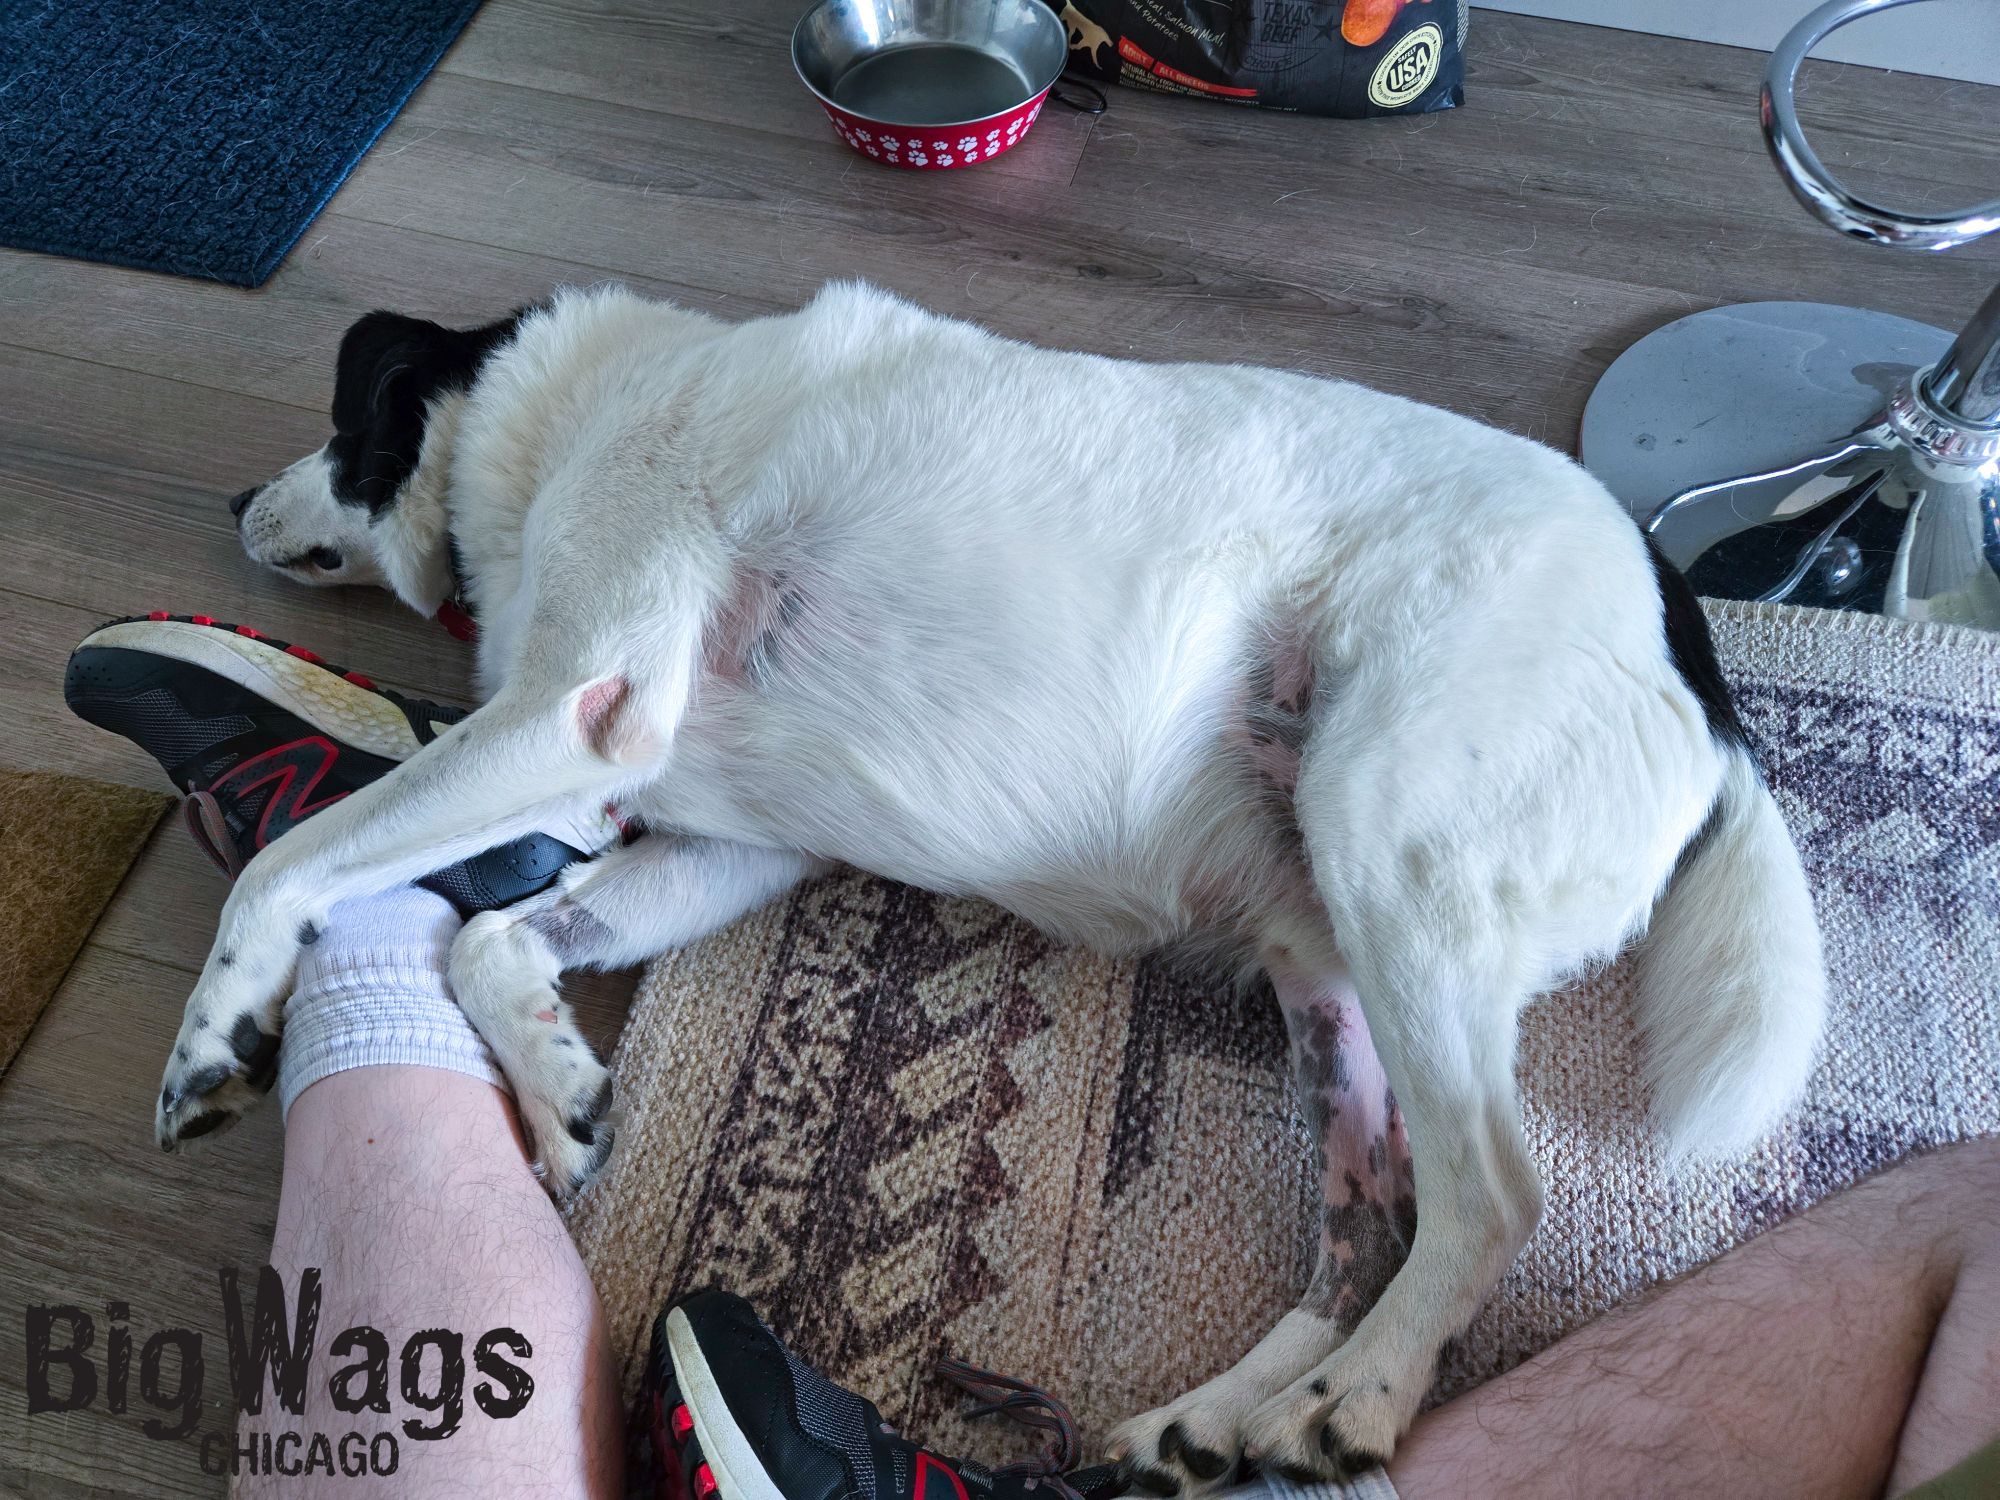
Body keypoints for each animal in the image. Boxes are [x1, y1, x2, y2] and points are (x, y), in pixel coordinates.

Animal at [180, 288, 1824, 1488]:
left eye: (338, 420)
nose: (234, 495)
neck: (566, 412)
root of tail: (1688, 641)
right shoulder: (732, 841)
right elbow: (489, 940)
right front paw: (556, 1091)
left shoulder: (579, 712)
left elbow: (290, 864)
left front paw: (216, 1032)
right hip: (1322, 952)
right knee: (1370, 1219)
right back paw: (1212, 1421)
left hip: (1392, 847)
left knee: (1487, 1199)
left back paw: (1350, 1401)